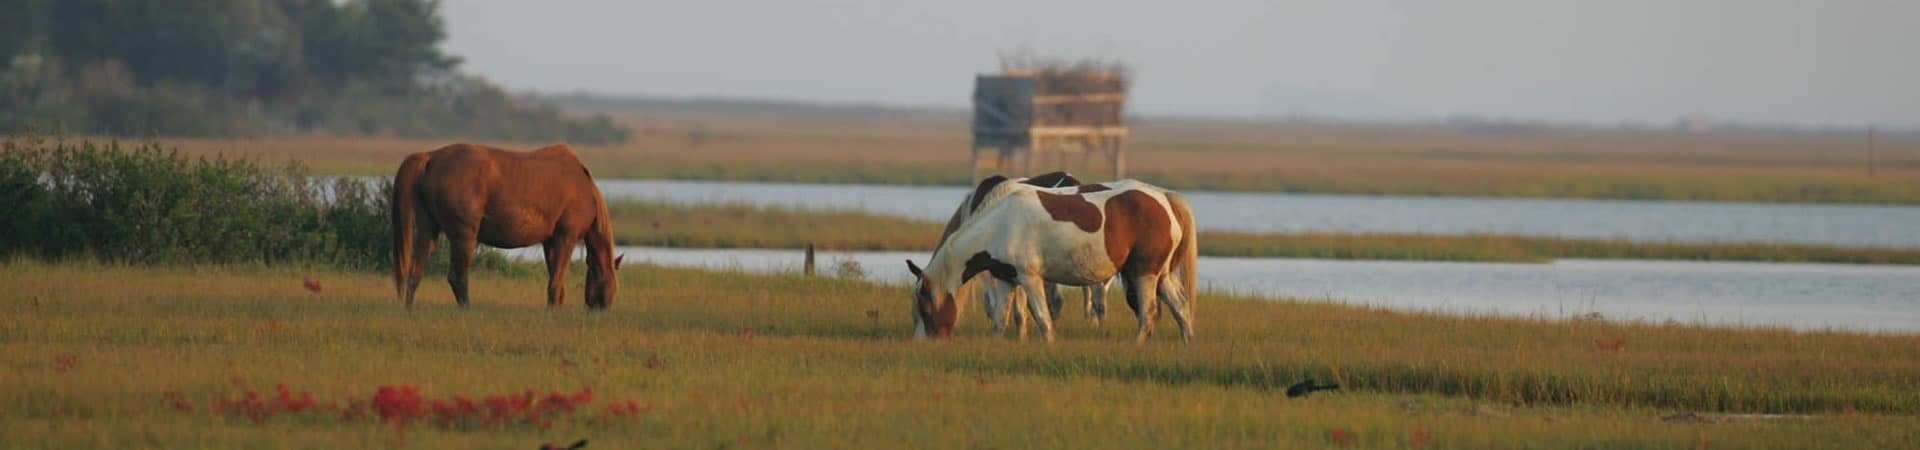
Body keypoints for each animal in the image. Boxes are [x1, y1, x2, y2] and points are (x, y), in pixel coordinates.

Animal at [391, 143, 624, 310]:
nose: (602, 308)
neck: (586, 189)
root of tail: (431, 157)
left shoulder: (549, 242)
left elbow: (554, 277)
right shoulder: (566, 237)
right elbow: (557, 279)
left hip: (428, 230)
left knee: (415, 271)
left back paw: (409, 308)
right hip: (464, 237)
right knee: (457, 277)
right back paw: (467, 308)